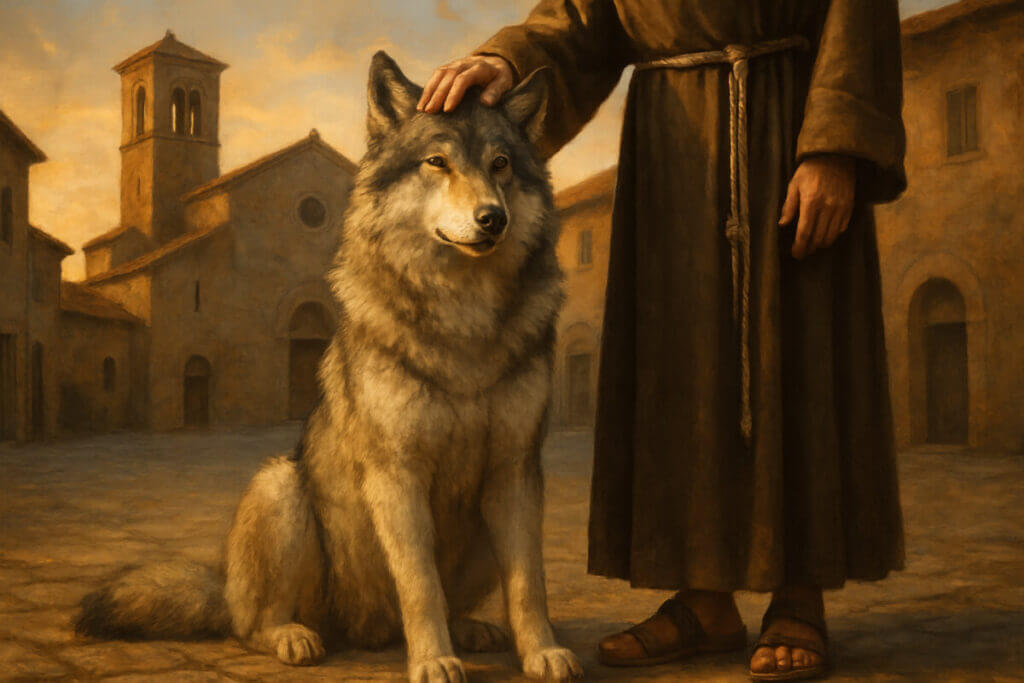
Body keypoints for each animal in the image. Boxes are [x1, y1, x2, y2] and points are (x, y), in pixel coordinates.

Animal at [74, 52, 581, 682]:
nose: (493, 218)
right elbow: (420, 585)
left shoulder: (515, 471)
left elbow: (528, 582)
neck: (463, 314)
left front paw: (540, 651)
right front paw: (433, 660)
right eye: (437, 163)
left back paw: (470, 629)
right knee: (251, 624)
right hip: (281, 489)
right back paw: (294, 636)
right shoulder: (397, 474)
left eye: (501, 164)